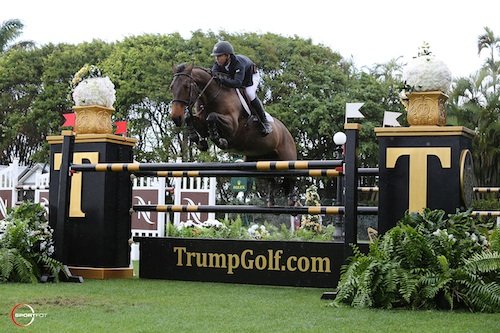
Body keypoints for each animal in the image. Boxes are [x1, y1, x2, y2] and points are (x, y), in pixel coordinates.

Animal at [170, 63, 298, 202]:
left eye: (186, 86)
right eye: (172, 87)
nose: (176, 117)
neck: (212, 97)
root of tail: (287, 131)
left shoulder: (232, 126)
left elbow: (212, 117)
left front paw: (219, 140)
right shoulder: (201, 122)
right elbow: (190, 118)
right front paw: (198, 140)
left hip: (287, 160)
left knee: (290, 179)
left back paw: (292, 200)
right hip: (261, 164)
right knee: (271, 180)